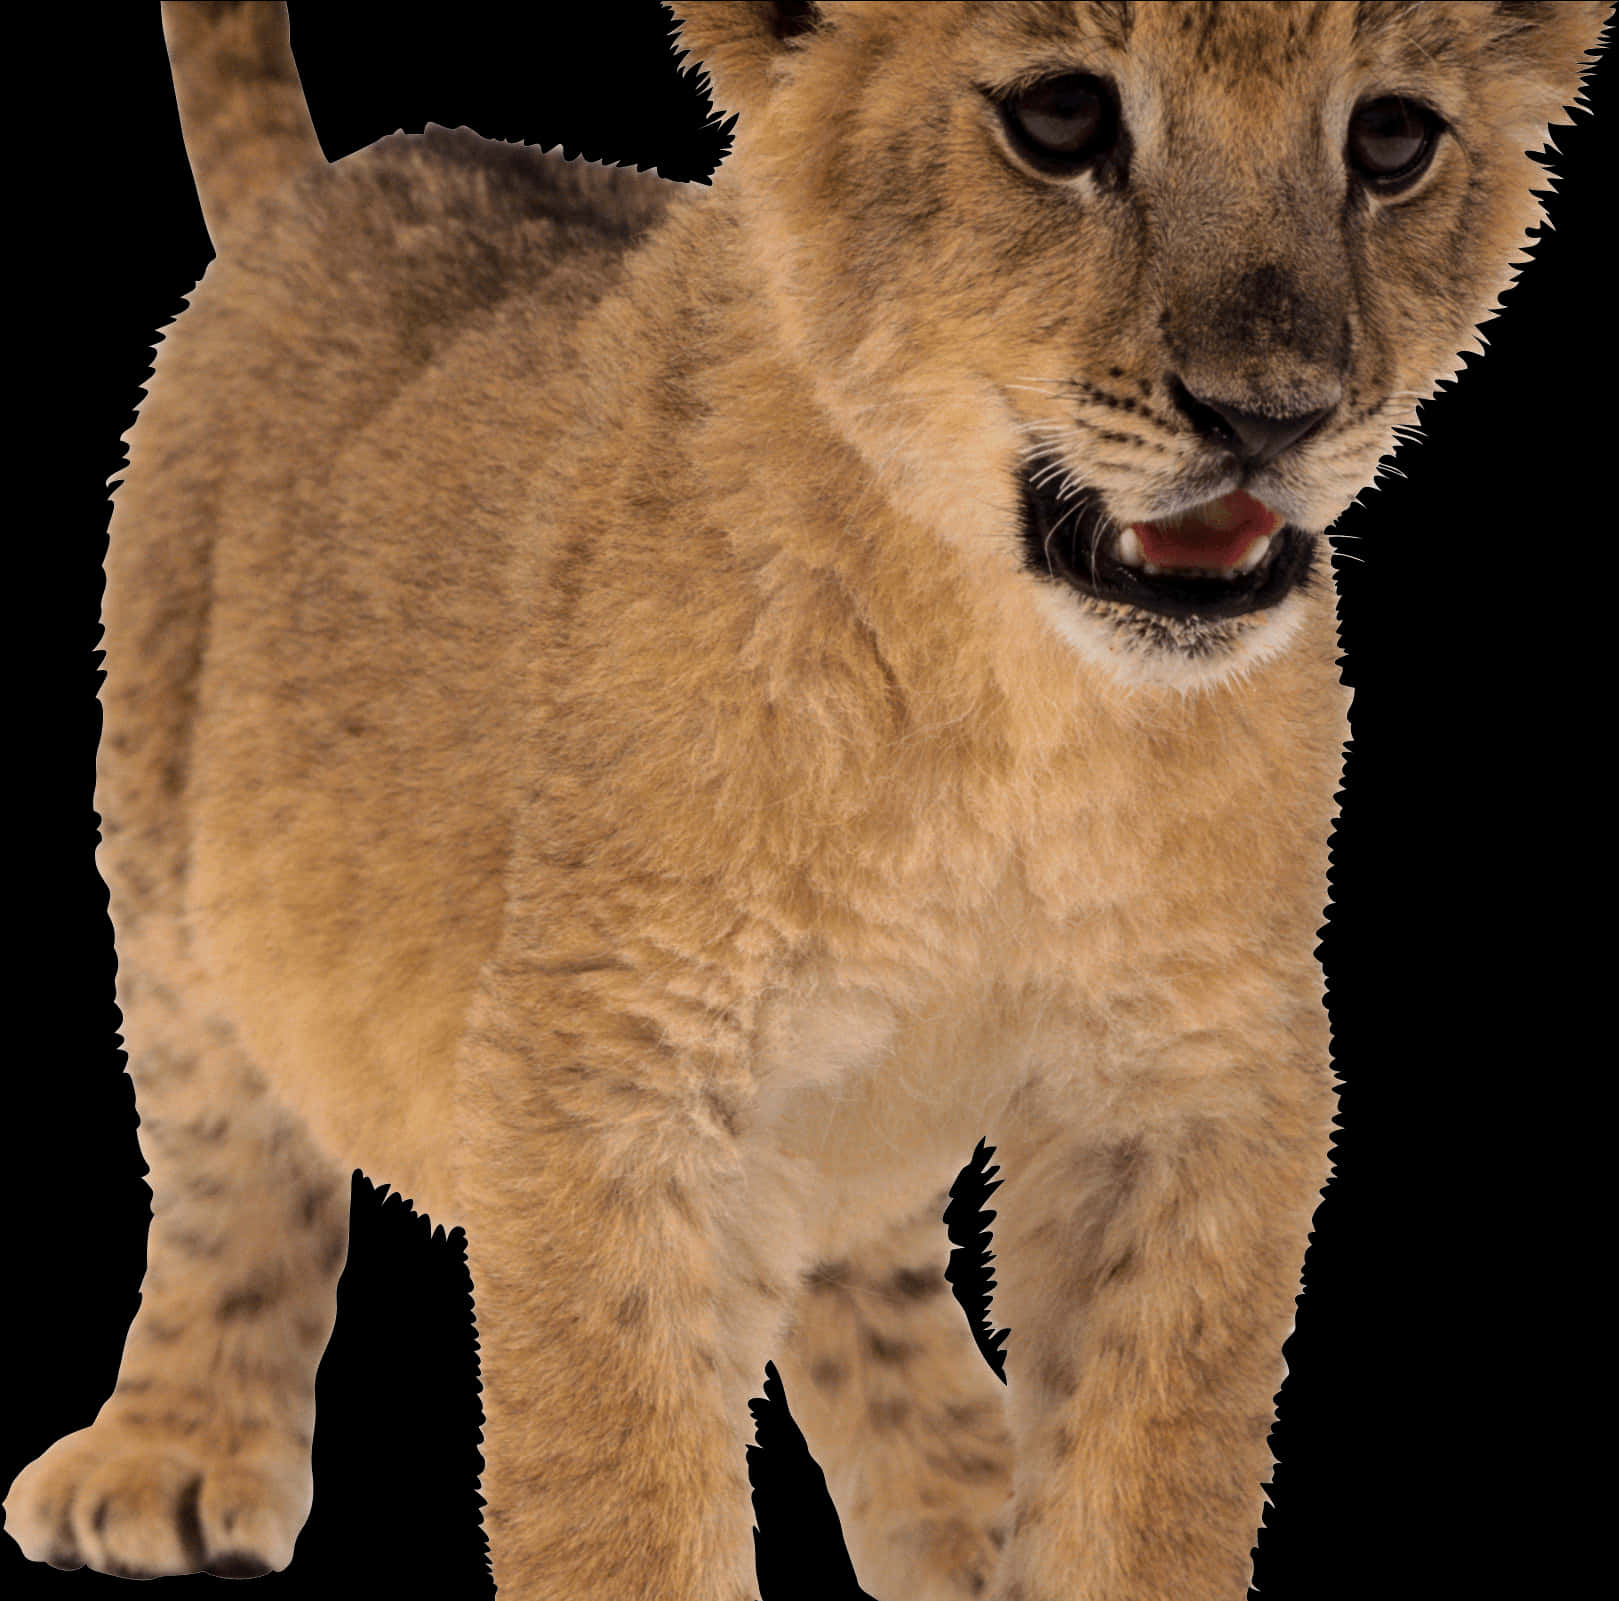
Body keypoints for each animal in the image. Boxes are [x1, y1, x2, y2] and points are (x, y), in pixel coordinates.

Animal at [5, 3, 1608, 1598]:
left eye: (1389, 139)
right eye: (1060, 120)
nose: (1269, 417)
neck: (1012, 704)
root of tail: (322, 187)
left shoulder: (1194, 1072)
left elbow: (1143, 1479)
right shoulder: (605, 1067)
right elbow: (619, 1498)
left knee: (860, 1249)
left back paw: (963, 1501)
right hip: (168, 852)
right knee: (225, 1162)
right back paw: (173, 1453)